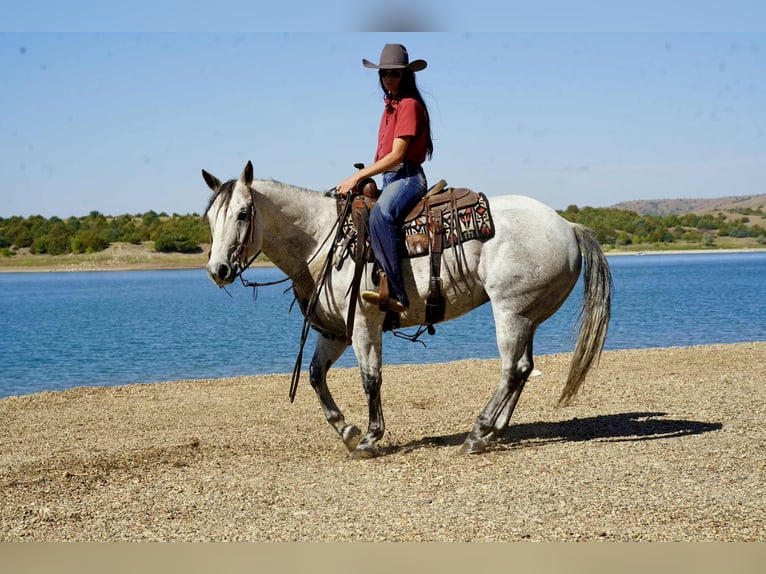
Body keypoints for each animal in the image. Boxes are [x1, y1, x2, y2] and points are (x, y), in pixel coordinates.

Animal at [202, 161, 612, 458]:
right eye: (210, 218)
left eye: (243, 214)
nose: (217, 270)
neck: (321, 238)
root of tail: (567, 225)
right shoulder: (334, 331)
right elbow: (316, 376)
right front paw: (347, 430)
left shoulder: (363, 322)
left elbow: (371, 378)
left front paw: (370, 438)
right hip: (528, 316)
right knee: (523, 369)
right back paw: (494, 431)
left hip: (510, 312)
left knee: (511, 370)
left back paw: (477, 433)